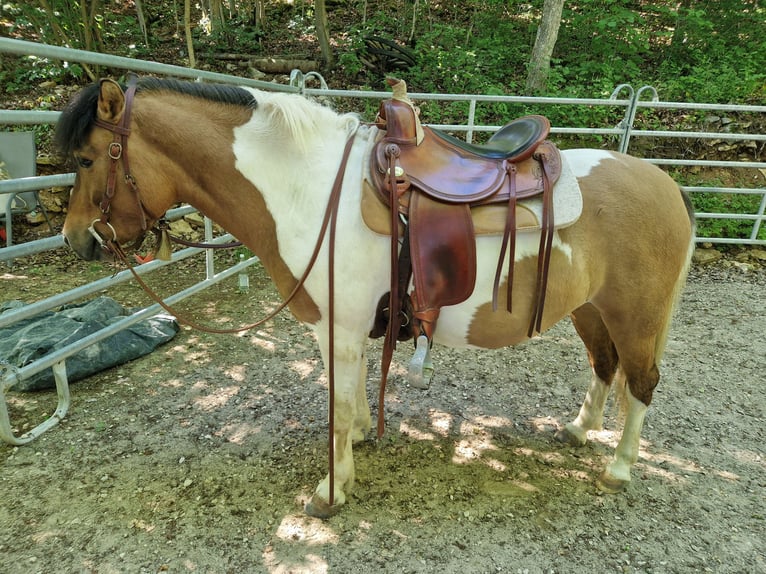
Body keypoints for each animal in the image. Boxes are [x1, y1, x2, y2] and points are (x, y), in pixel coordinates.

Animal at [55, 76, 695, 518]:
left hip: (635, 315)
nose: (76, 239)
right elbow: (355, 388)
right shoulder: (347, 326)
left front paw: (331, 490)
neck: (309, 189)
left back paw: (619, 468)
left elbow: (336, 404)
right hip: (592, 310)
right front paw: (361, 437)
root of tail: (666, 183)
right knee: (604, 365)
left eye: (86, 159)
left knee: (642, 383)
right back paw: (579, 430)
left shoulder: (335, 326)